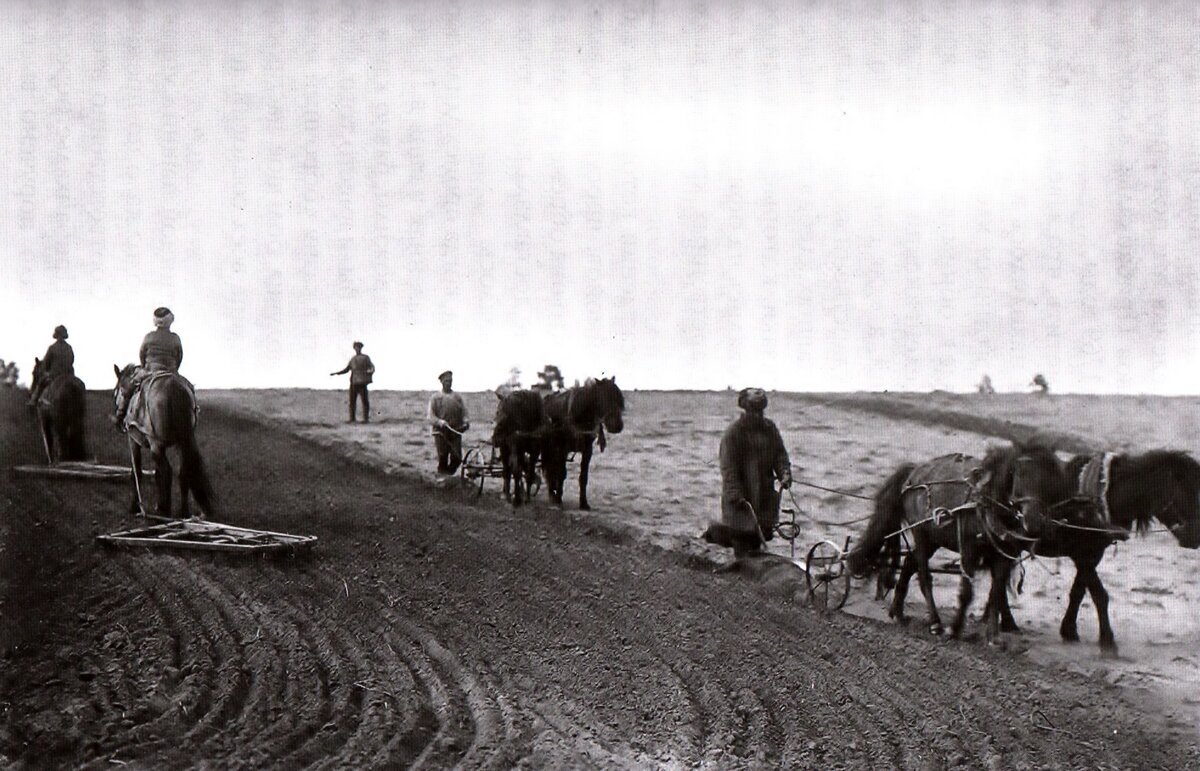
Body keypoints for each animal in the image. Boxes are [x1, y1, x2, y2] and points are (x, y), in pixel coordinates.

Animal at [112, 362, 216, 518]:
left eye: (116, 392)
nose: (118, 421)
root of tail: (176, 390)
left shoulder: (134, 441)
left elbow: (136, 472)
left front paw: (134, 506)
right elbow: (156, 474)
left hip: (156, 444)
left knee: (167, 471)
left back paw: (164, 511)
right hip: (182, 442)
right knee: (183, 472)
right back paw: (183, 512)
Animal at [540, 374, 624, 506]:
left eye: (618, 397)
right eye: (604, 397)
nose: (617, 426)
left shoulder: (587, 450)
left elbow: (583, 477)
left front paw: (583, 503)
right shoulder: (563, 449)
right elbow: (562, 473)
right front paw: (558, 499)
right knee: (549, 468)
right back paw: (552, 493)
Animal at [844, 441, 1070, 638]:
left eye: (1052, 480)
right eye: (1021, 475)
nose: (1034, 522)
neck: (986, 502)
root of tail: (914, 472)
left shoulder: (1004, 556)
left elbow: (996, 592)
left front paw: (993, 636)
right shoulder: (969, 549)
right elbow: (967, 592)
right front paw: (956, 628)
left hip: (934, 538)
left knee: (909, 562)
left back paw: (897, 611)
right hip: (922, 534)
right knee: (924, 576)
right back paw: (935, 622)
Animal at [988, 444, 1200, 653]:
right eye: (1186, 494)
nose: (1195, 538)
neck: (1098, 501)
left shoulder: (1093, 554)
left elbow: (1078, 592)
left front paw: (1069, 631)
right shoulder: (1083, 555)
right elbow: (1099, 594)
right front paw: (1107, 640)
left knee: (999, 577)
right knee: (999, 577)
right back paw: (1006, 622)